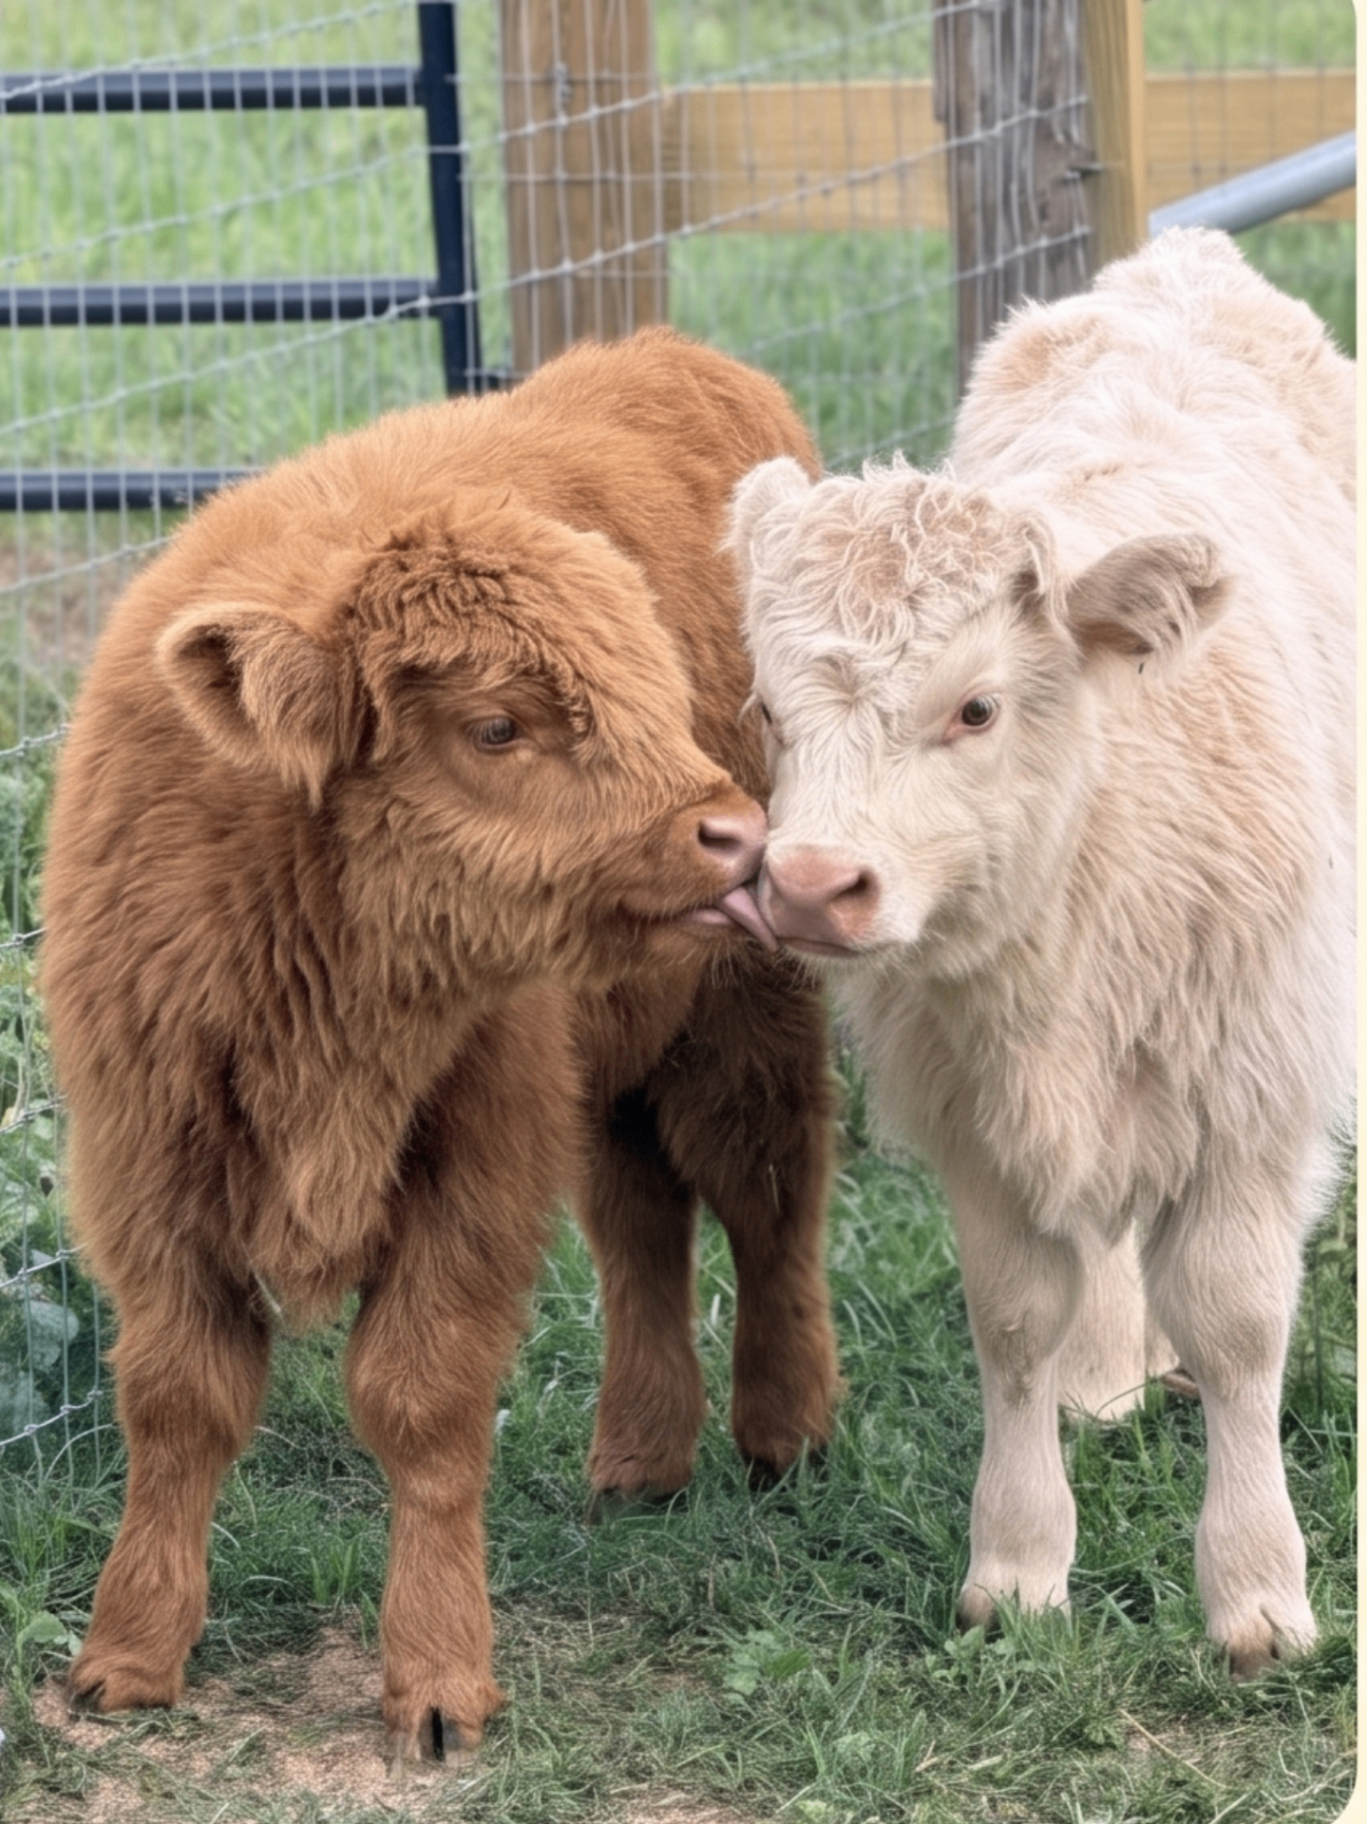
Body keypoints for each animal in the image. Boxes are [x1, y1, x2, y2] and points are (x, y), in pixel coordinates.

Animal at [39, 327, 843, 1763]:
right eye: (495, 725)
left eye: (649, 689)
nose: (730, 835)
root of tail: (674, 355)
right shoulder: (150, 1170)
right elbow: (179, 1398)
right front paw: (128, 1655)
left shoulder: (473, 1164)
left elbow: (420, 1400)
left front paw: (435, 1681)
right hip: (614, 1059)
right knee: (641, 1219)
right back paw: (639, 1463)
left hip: (743, 1014)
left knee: (766, 1196)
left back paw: (782, 1435)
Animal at [726, 230, 1354, 1676]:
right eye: (767, 712)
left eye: (974, 707)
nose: (808, 886)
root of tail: (1180, 254)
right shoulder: (979, 1121)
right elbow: (1013, 1319)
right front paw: (1014, 1570)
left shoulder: (1251, 1095)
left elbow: (1238, 1327)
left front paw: (1256, 1593)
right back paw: (1106, 1375)